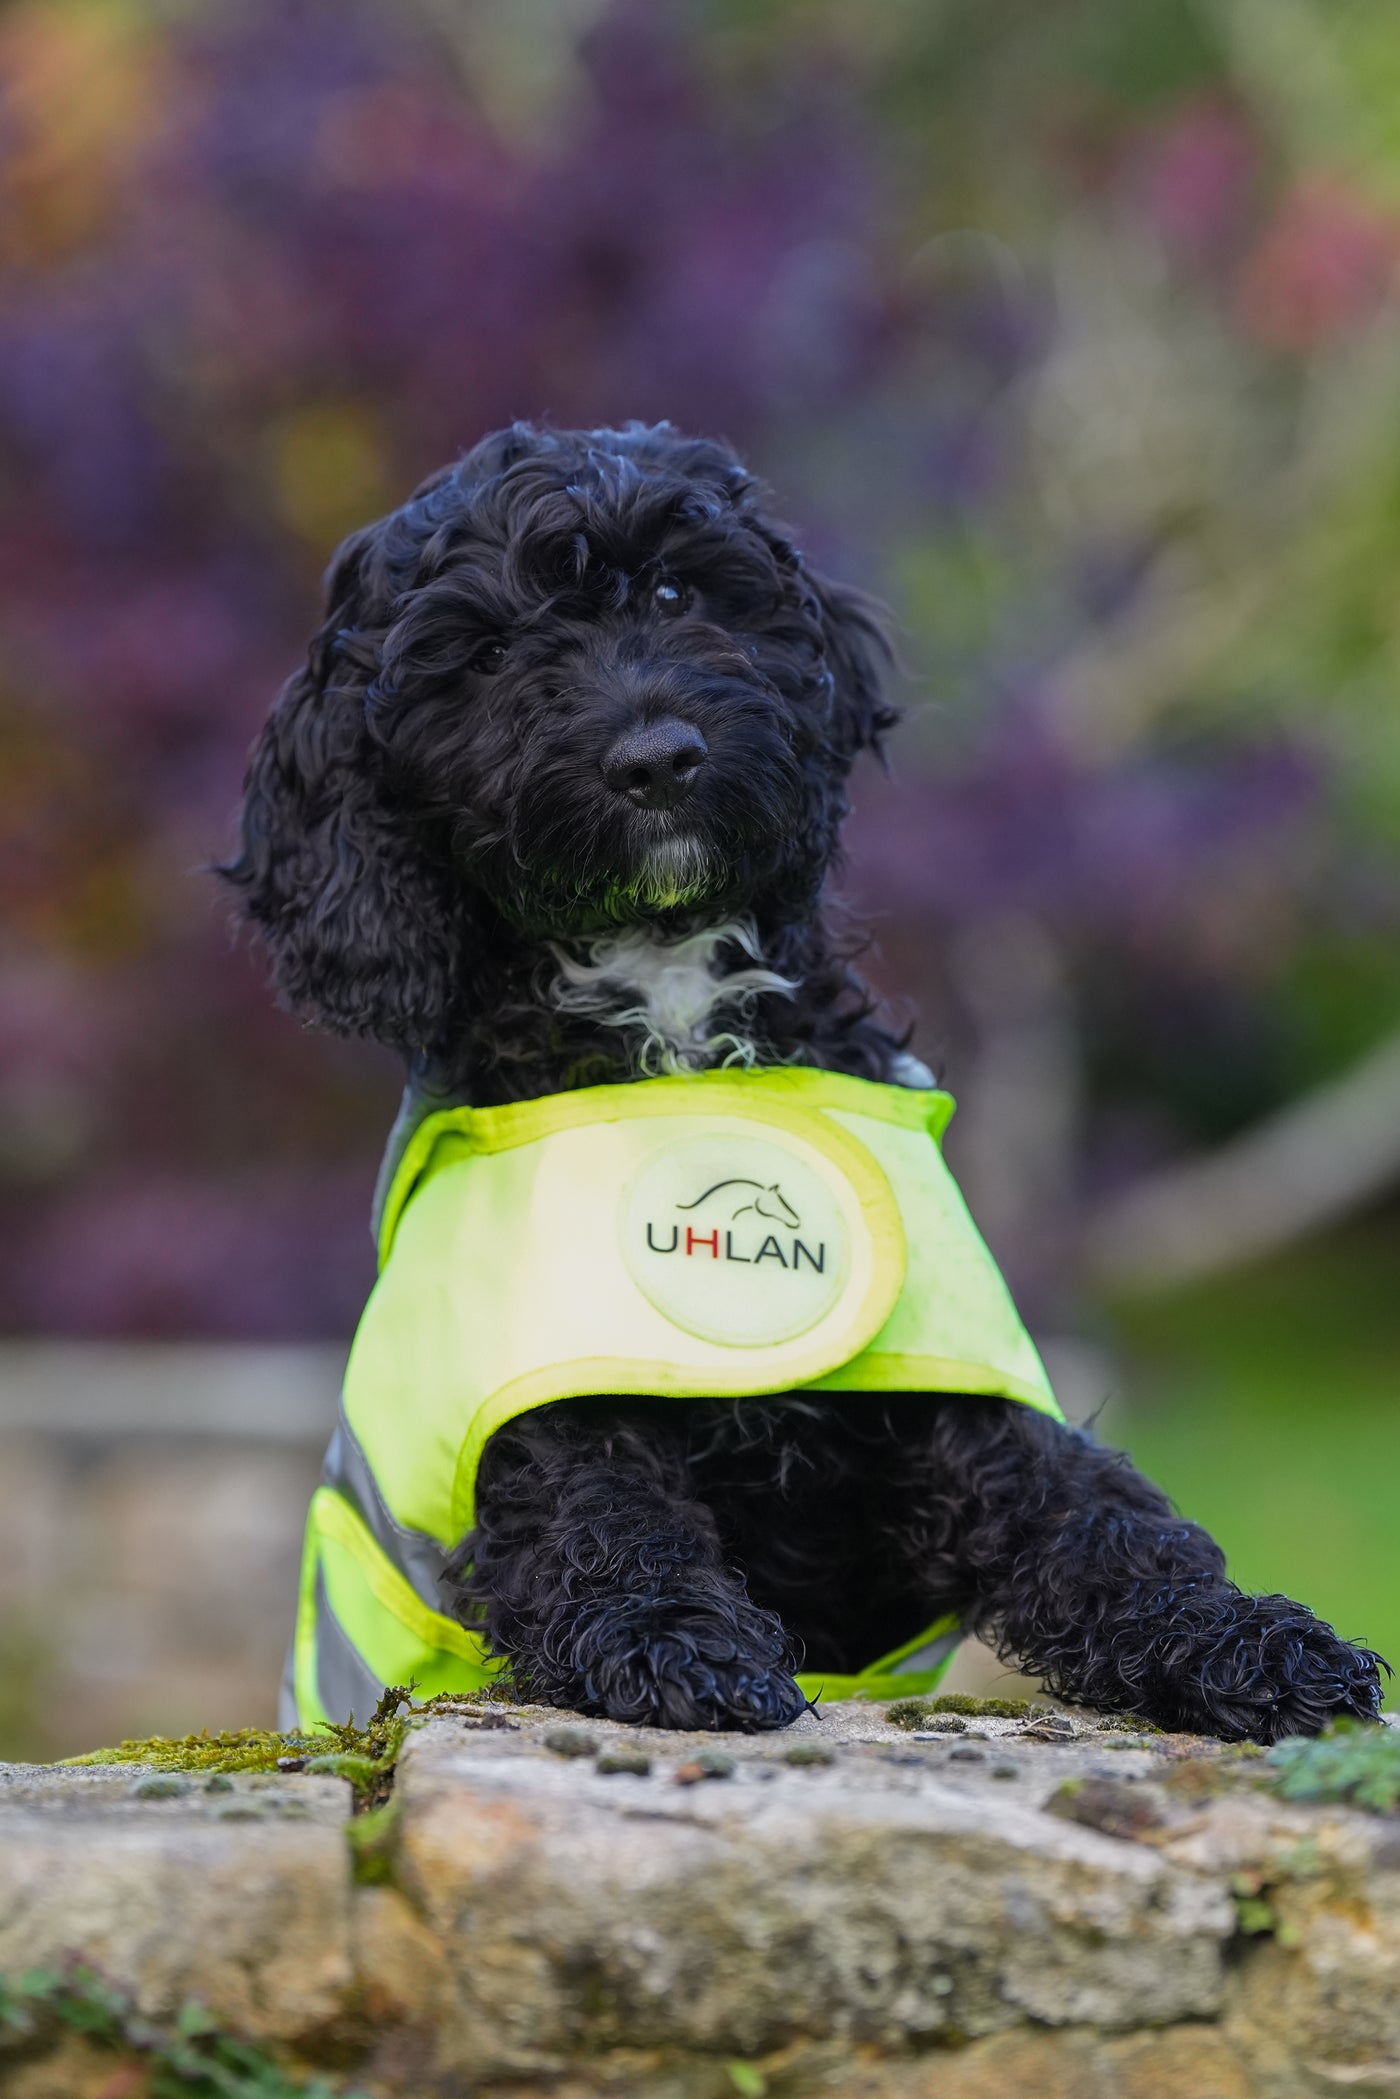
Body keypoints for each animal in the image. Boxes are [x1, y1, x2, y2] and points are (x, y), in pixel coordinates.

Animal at [224, 417, 1385, 1746]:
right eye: (485, 654)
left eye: (671, 591)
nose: (656, 758)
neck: (668, 997)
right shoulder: (531, 1401)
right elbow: (597, 1513)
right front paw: (672, 1638)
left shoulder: (944, 1386)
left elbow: (1087, 1507)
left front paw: (1235, 1633)